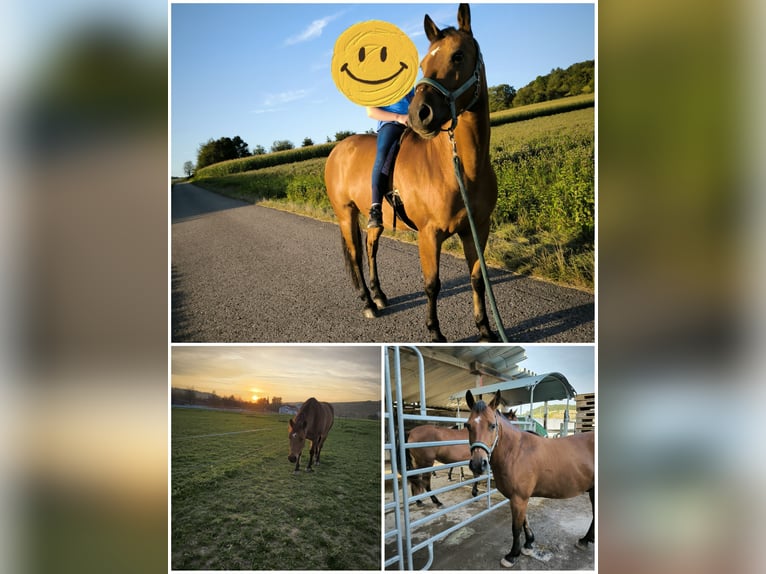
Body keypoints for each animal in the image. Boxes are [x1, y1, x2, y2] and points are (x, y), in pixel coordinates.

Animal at [326, 4, 500, 344]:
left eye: (458, 55)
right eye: (423, 63)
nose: (419, 114)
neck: (458, 170)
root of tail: (337, 150)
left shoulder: (477, 229)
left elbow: (477, 279)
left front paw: (485, 329)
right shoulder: (429, 235)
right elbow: (432, 284)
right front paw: (434, 332)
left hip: (373, 218)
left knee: (371, 247)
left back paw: (379, 295)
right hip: (345, 214)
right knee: (355, 255)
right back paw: (368, 303)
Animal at [464, 392, 596, 572]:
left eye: (492, 425)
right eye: (468, 426)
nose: (478, 464)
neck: (515, 452)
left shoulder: (519, 498)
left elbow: (516, 527)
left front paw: (512, 555)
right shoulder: (520, 498)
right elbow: (525, 522)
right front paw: (528, 543)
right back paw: (585, 540)